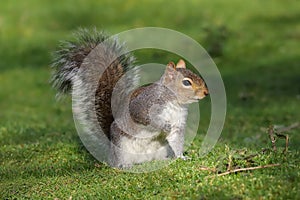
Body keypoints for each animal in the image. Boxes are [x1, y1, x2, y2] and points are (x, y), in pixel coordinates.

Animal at [51, 28, 209, 168]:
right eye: (186, 82)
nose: (206, 92)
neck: (174, 102)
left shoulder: (178, 123)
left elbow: (175, 140)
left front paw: (182, 157)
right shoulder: (145, 103)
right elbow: (142, 115)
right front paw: (163, 125)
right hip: (122, 146)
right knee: (118, 162)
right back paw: (124, 165)